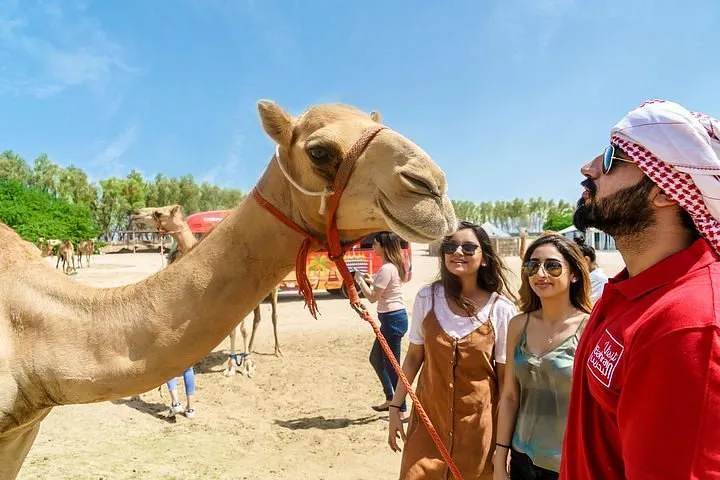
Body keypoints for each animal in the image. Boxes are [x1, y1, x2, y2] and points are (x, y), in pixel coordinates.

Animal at [152, 204, 282, 376]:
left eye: (160, 212)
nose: (151, 213)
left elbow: (242, 330)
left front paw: (244, 365)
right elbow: (231, 331)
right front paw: (231, 365)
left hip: (273, 290)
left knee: (274, 316)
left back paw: (276, 351)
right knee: (257, 318)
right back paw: (250, 351)